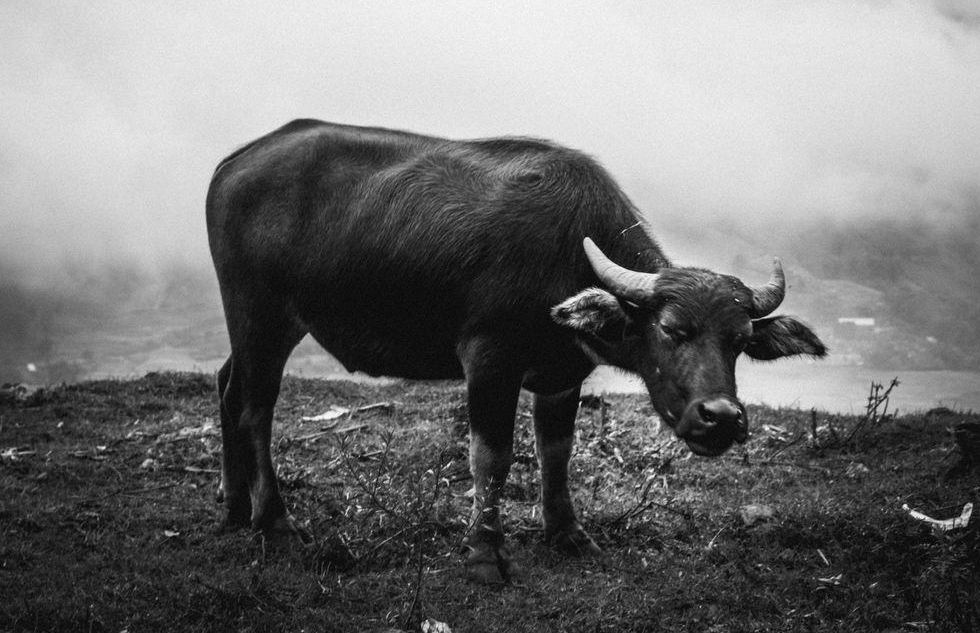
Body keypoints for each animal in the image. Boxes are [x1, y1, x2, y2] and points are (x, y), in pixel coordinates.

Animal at [206, 120, 826, 583]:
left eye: (740, 342)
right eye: (672, 329)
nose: (721, 418)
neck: (565, 256)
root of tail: (233, 163)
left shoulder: (563, 374)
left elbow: (556, 452)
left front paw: (568, 534)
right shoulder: (489, 359)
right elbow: (491, 456)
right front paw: (485, 554)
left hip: (262, 325)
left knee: (227, 384)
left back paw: (234, 505)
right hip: (260, 314)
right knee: (255, 406)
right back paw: (273, 521)